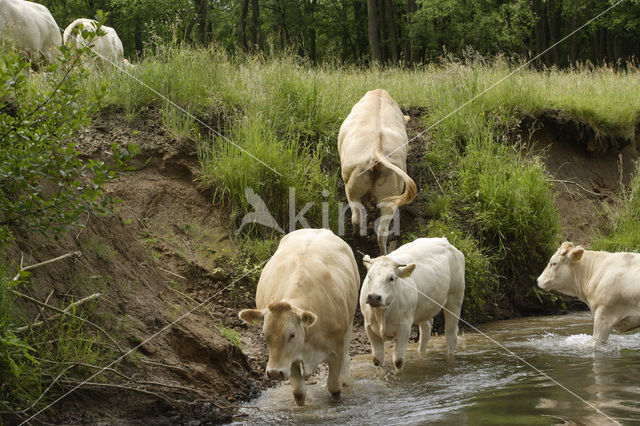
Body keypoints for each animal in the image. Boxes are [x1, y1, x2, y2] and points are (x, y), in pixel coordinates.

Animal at [239, 230, 360, 406]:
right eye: (265, 335)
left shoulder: (336, 350)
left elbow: (334, 388)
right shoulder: (290, 360)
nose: (274, 373)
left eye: (292, 334)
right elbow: (299, 393)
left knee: (346, 356)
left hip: (350, 323)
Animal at [360, 238, 464, 372]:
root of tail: (443, 240)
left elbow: (398, 360)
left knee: (451, 334)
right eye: (369, 276)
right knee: (426, 330)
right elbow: (377, 360)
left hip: (455, 299)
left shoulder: (404, 327)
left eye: (391, 278)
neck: (381, 314)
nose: (374, 297)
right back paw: (421, 355)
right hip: (424, 307)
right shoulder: (368, 326)